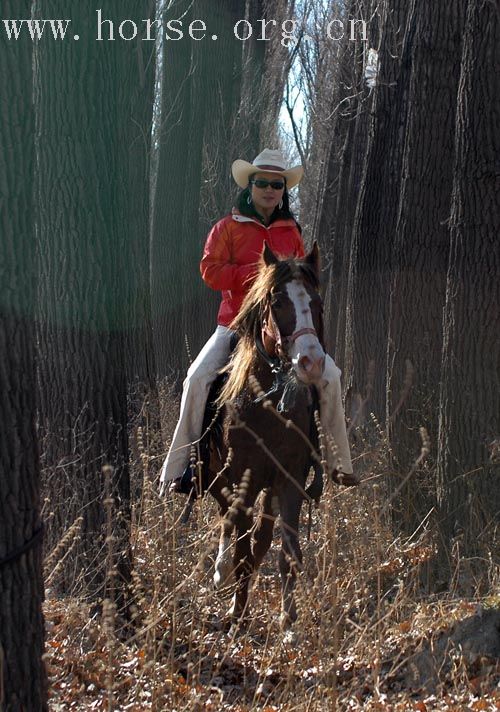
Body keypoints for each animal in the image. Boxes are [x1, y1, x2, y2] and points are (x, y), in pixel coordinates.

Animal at [201, 243, 330, 628]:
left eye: (316, 302)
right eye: (278, 302)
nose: (311, 363)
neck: (269, 402)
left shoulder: (288, 479)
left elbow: (285, 550)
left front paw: (289, 622)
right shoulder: (243, 477)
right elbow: (242, 546)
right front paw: (237, 616)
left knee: (260, 534)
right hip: (217, 475)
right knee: (227, 516)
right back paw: (221, 571)